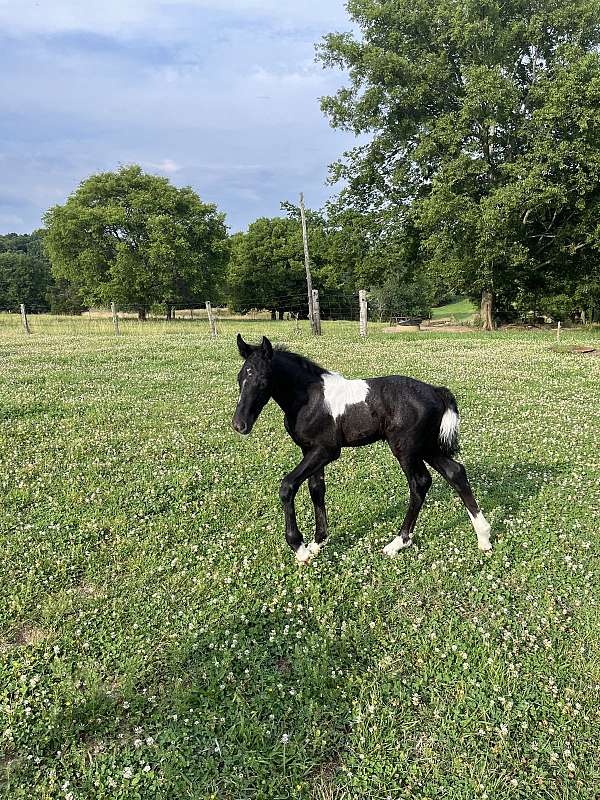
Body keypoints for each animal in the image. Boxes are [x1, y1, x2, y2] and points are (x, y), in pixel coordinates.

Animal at [232, 334, 490, 564]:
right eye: (239, 378)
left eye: (263, 381)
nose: (239, 425)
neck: (309, 399)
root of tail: (436, 391)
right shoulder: (309, 450)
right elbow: (317, 489)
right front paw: (317, 542)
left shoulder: (326, 451)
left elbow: (288, 486)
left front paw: (300, 548)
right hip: (426, 446)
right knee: (455, 472)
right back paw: (484, 537)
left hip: (405, 449)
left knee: (420, 483)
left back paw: (398, 542)